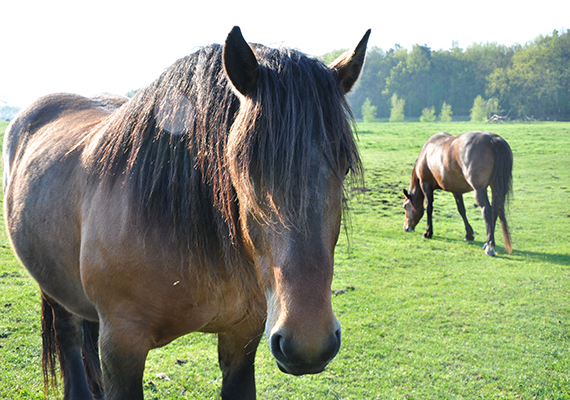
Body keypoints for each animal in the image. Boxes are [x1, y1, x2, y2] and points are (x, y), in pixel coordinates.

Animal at [3, 26, 368, 398]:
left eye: (345, 165)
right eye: (242, 166)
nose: (308, 342)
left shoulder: (243, 336)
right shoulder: (121, 346)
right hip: (53, 288)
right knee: (69, 338)